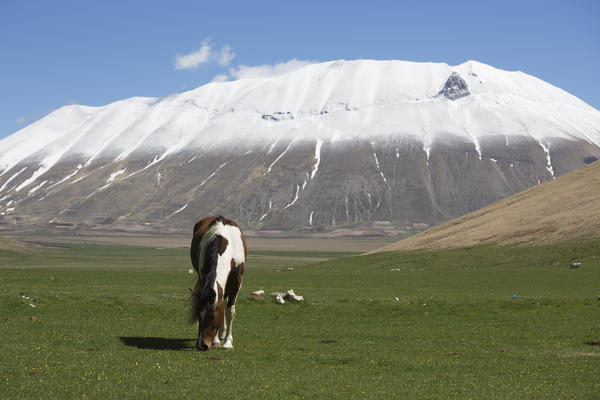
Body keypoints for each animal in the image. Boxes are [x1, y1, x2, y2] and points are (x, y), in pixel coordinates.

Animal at [186, 216, 245, 350]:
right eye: (198, 314)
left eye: (212, 316)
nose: (202, 345)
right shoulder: (203, 277)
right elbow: (220, 304)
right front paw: (216, 340)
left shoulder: (237, 280)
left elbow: (229, 311)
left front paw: (228, 342)